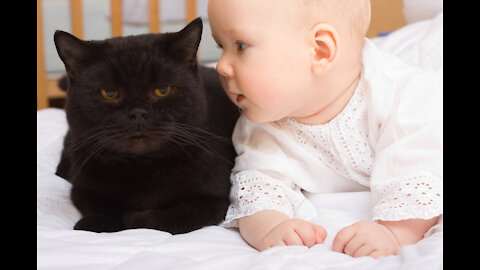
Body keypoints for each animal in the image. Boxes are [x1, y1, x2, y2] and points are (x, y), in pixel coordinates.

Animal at [54, 17, 240, 233]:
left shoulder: (214, 199)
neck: (141, 168)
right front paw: (92, 223)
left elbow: (166, 219)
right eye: (109, 93)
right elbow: (100, 205)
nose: (137, 113)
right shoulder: (82, 187)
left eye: (162, 90)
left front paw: (133, 218)